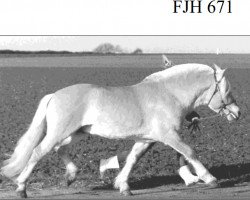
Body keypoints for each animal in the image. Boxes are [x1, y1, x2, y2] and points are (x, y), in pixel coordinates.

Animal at [1, 63, 240, 198]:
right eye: (226, 90)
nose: (237, 113)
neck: (169, 94)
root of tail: (54, 95)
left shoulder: (146, 139)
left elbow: (132, 160)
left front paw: (123, 186)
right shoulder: (169, 135)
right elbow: (190, 152)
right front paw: (210, 179)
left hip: (77, 133)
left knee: (59, 149)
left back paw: (70, 177)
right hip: (59, 132)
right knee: (38, 152)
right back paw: (21, 189)